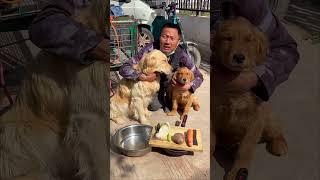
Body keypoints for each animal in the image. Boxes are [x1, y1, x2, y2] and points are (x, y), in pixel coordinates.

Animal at [212, 16, 288, 180]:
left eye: (249, 40)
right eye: (228, 38)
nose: (239, 57)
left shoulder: (255, 120)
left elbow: (245, 149)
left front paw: (237, 171)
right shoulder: (214, 113)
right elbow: (212, 140)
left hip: (268, 119)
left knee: (277, 130)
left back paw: (279, 144)